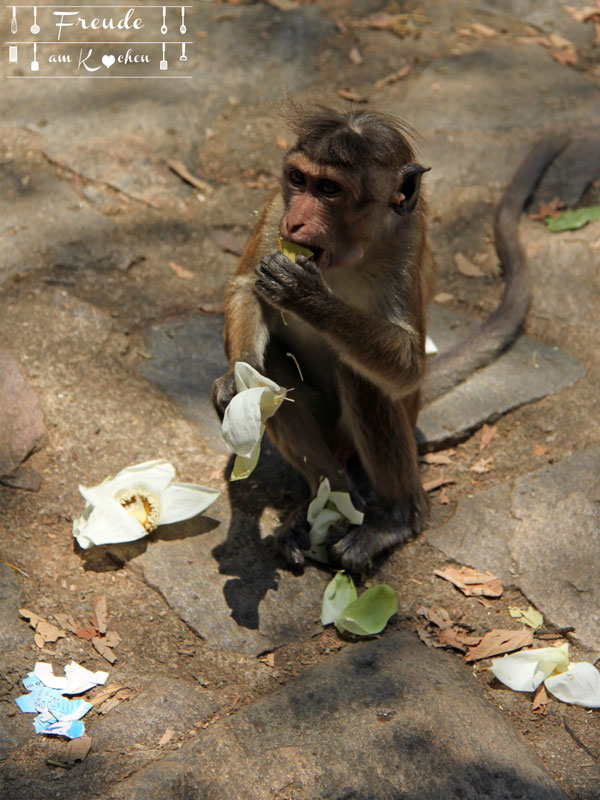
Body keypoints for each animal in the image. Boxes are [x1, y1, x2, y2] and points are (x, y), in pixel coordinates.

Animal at [212, 103, 572, 572]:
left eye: (329, 188)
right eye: (298, 179)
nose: (297, 220)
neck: (347, 250)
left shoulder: (407, 241)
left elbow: (407, 367)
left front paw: (305, 296)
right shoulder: (275, 209)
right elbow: (244, 289)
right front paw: (237, 383)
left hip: (377, 423)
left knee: (365, 379)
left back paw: (398, 518)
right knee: (277, 368)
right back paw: (329, 497)